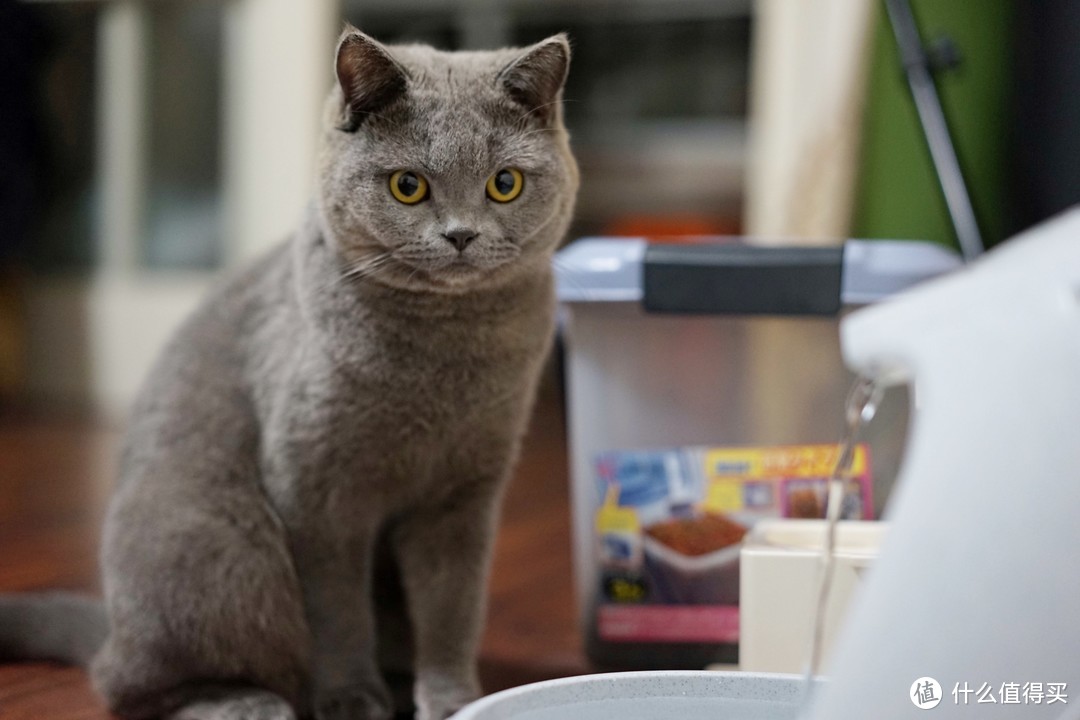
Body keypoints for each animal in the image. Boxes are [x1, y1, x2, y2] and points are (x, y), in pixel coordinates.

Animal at [0, 26, 583, 720]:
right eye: (408, 186)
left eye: (504, 184)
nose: (462, 235)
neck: (443, 356)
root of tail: (111, 627)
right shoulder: (315, 492)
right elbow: (338, 611)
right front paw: (351, 699)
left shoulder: (464, 499)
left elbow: (452, 609)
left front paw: (452, 701)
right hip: (221, 546)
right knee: (131, 682)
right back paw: (250, 702)